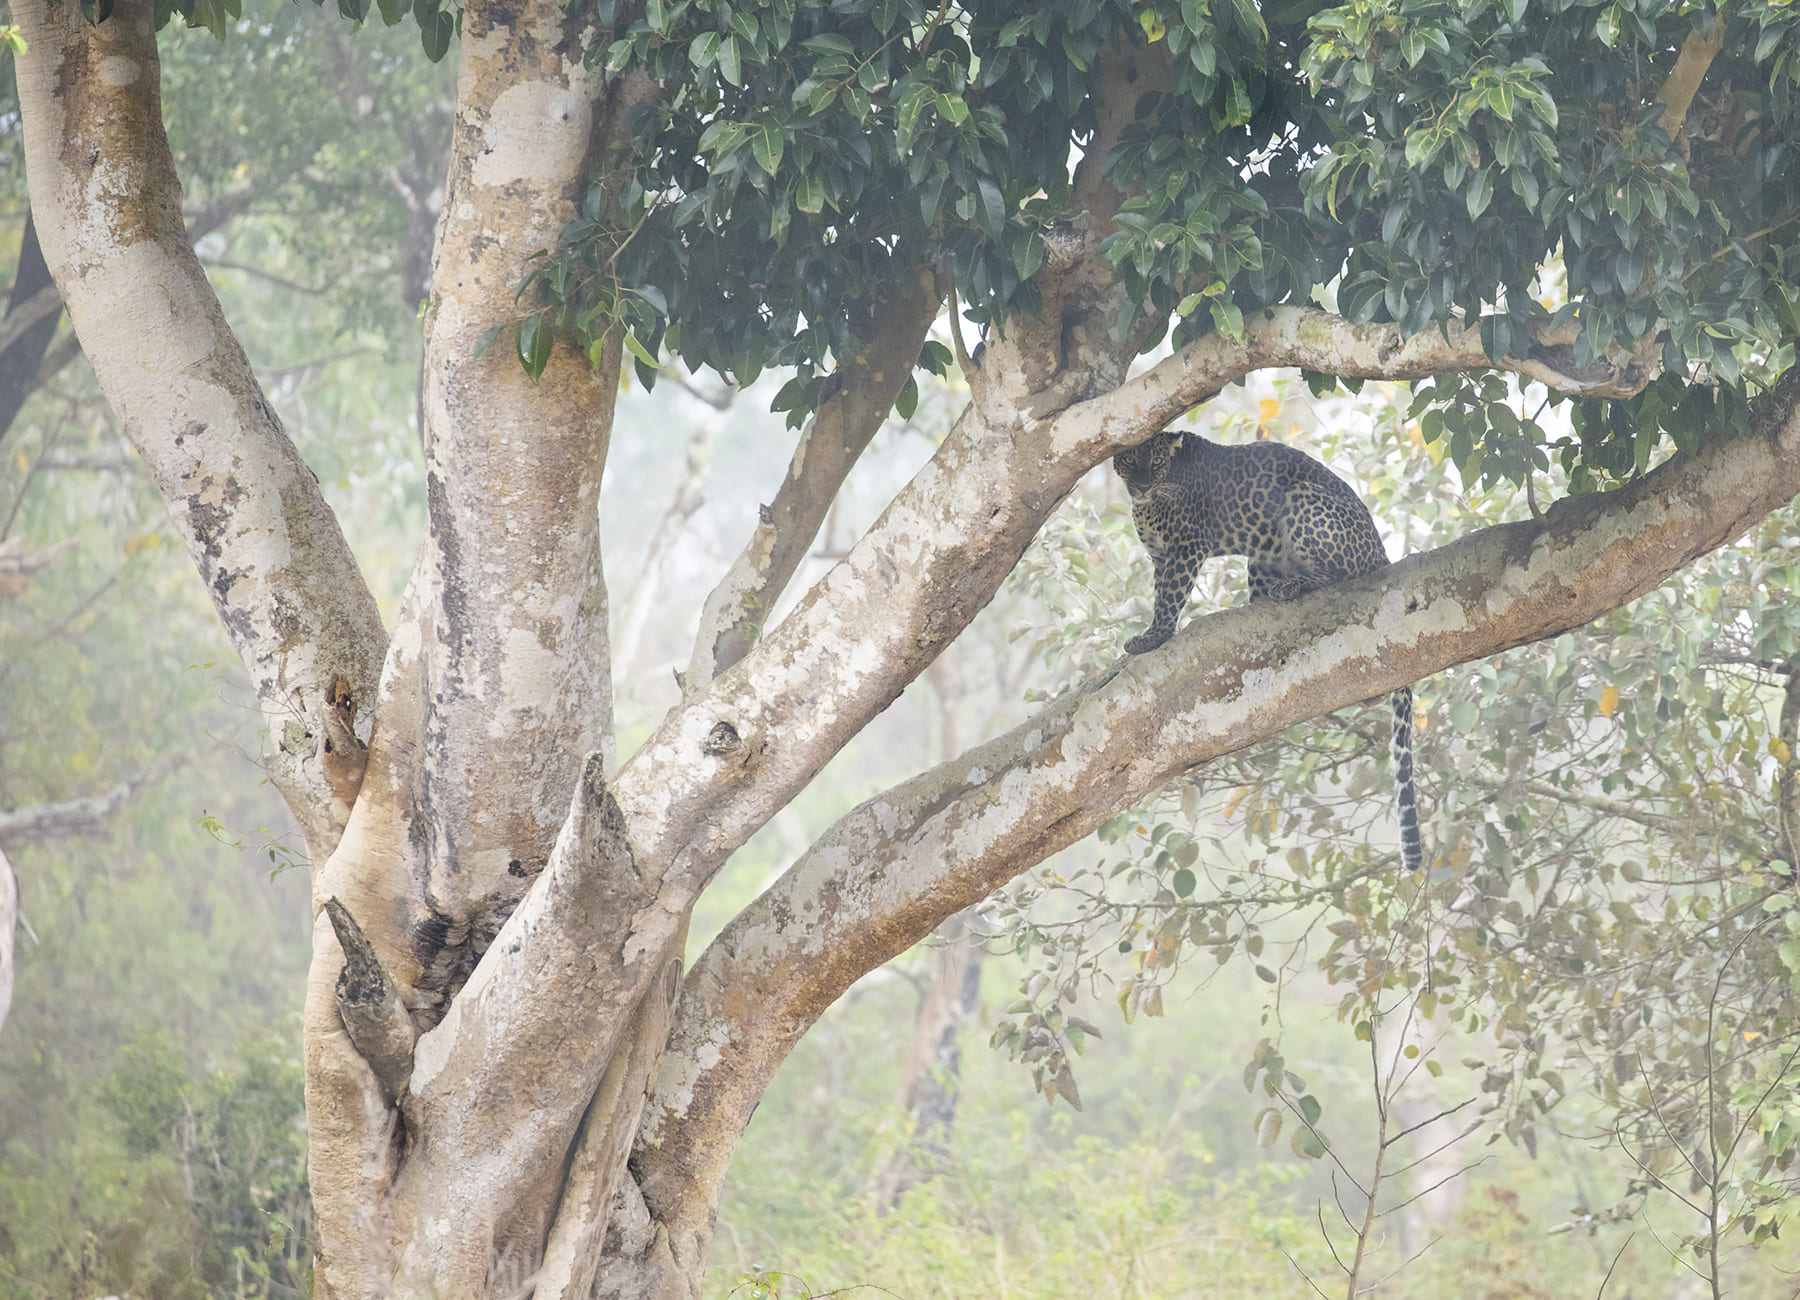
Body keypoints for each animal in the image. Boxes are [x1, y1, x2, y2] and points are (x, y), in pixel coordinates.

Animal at [1114, 429, 1424, 873]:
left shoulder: (1185, 548)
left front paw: (1152, 638)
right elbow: (1161, 593)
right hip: (1264, 553)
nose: (1140, 486)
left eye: (1155, 464)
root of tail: (1383, 554)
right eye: (1128, 461)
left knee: (1341, 575)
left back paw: (1292, 588)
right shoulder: (1162, 557)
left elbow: (1169, 599)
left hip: (1300, 503)